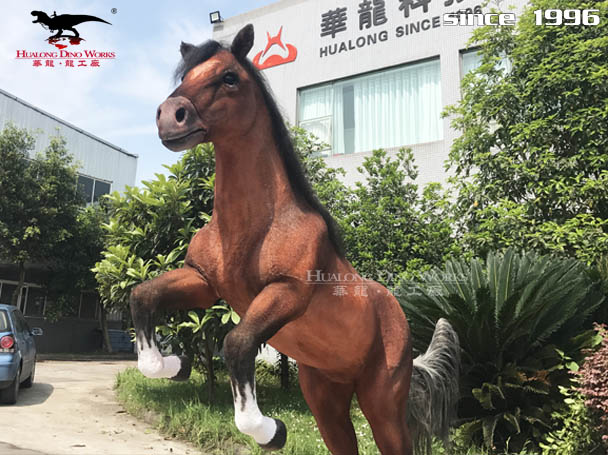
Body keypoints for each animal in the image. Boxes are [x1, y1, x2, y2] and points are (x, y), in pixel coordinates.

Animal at [131, 24, 460, 455]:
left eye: (229, 77)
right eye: (185, 76)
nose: (170, 117)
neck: (253, 229)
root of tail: (397, 313)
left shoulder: (288, 291)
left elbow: (236, 344)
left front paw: (270, 430)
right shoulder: (203, 283)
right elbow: (142, 297)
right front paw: (175, 365)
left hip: (382, 402)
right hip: (327, 401)